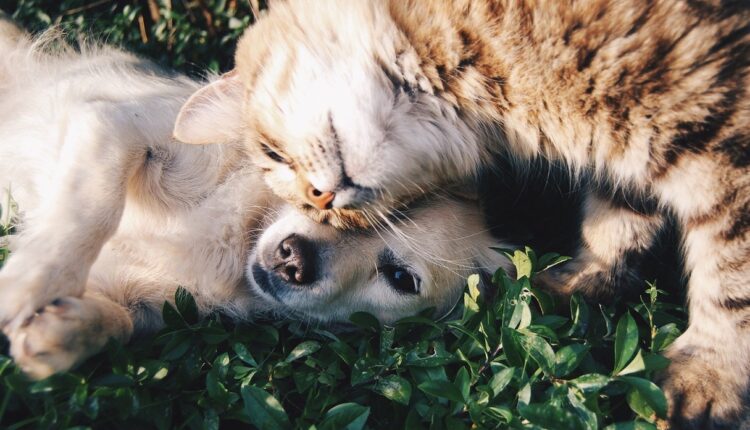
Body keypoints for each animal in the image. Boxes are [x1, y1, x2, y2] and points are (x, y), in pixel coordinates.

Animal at [175, 0, 750, 426]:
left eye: (272, 154)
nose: (321, 203)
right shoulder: (627, 157)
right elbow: (618, 218)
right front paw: (578, 281)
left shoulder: (721, 140)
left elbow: (730, 280)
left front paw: (709, 377)